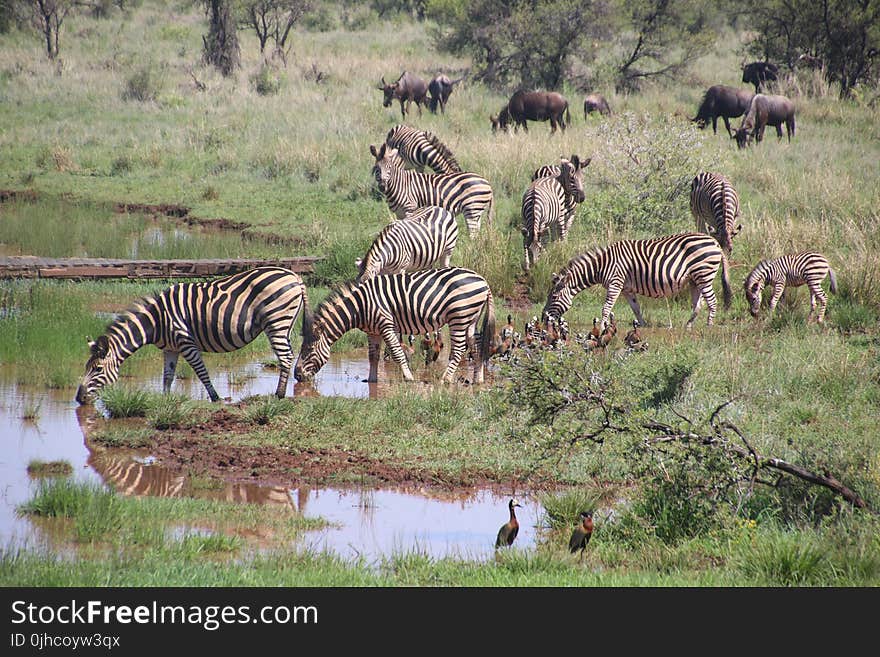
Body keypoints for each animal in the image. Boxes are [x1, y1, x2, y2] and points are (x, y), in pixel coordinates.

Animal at [75, 268, 310, 404]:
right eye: (86, 367)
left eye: (97, 369)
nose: (78, 399)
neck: (157, 321)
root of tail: (294, 276)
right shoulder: (170, 348)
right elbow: (167, 375)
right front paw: (165, 400)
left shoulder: (185, 341)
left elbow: (201, 372)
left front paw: (215, 398)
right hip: (285, 324)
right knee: (287, 355)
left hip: (276, 321)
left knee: (285, 357)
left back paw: (279, 395)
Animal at [292, 266, 492, 384]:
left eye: (308, 350)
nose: (297, 376)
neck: (360, 307)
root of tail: (483, 280)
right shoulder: (372, 331)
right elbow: (373, 356)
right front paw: (371, 380)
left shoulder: (386, 325)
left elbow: (397, 353)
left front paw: (408, 377)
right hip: (471, 319)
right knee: (476, 346)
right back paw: (478, 379)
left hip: (459, 317)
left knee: (459, 349)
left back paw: (446, 379)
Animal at [544, 233, 736, 330]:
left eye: (553, 298)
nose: (544, 319)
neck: (603, 265)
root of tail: (715, 243)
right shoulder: (626, 289)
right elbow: (635, 308)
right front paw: (642, 325)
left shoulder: (615, 283)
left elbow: (606, 307)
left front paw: (603, 325)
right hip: (694, 280)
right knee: (698, 304)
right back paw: (688, 325)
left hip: (704, 274)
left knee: (712, 301)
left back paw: (709, 325)